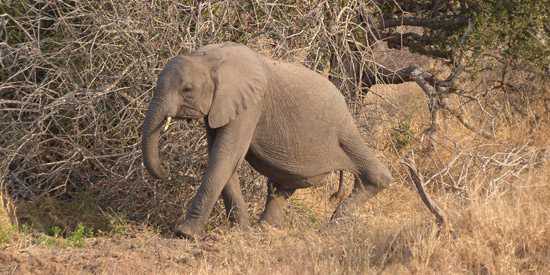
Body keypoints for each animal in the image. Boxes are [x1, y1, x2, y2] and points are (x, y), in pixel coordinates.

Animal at [142, 41, 444, 239]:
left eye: (187, 89)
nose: (166, 173)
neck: (210, 58)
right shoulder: (222, 108)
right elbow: (222, 156)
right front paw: (242, 231)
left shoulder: (251, 105)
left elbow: (225, 156)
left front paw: (184, 234)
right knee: (285, 182)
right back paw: (265, 229)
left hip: (342, 128)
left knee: (374, 173)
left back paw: (329, 229)